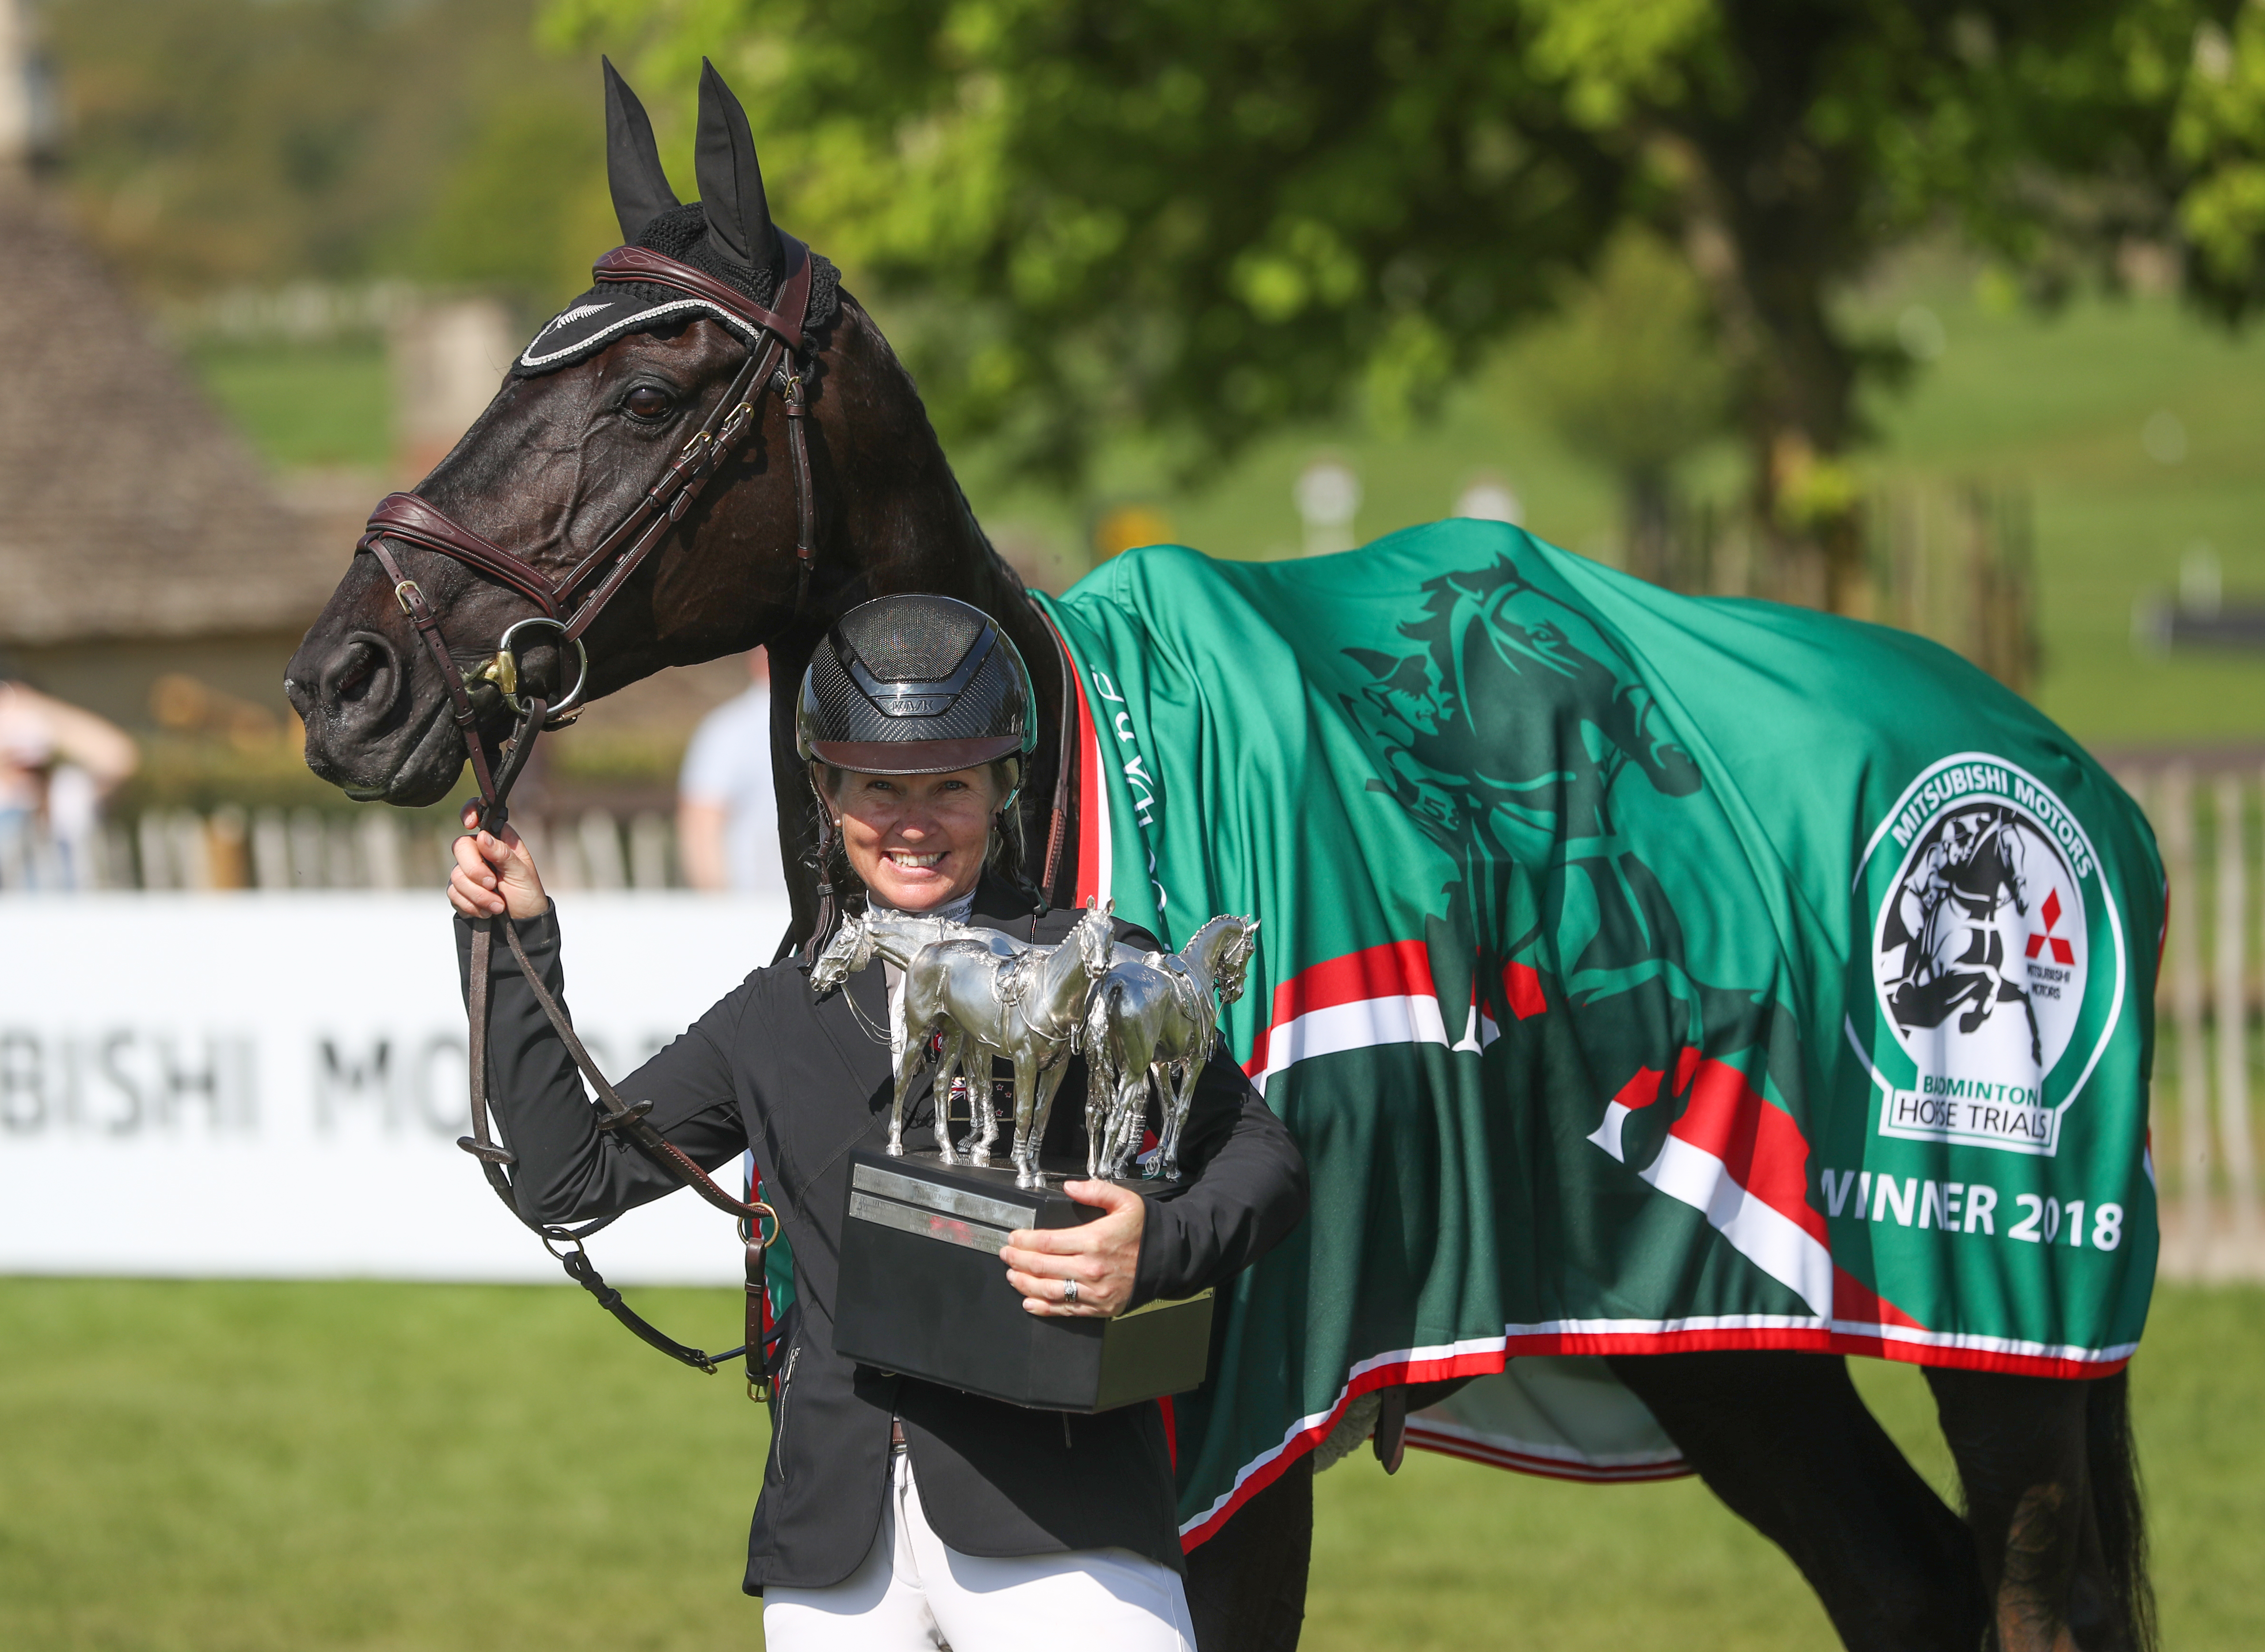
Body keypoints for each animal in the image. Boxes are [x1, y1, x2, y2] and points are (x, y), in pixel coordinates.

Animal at [287, 61, 2156, 1650]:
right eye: (522, 363)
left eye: (649, 390)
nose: (345, 675)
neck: (1059, 807)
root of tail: (2051, 757)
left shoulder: (1236, 1453)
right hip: (1726, 1337)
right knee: (1900, 1581)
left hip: (1998, 1318)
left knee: (2022, 1589)